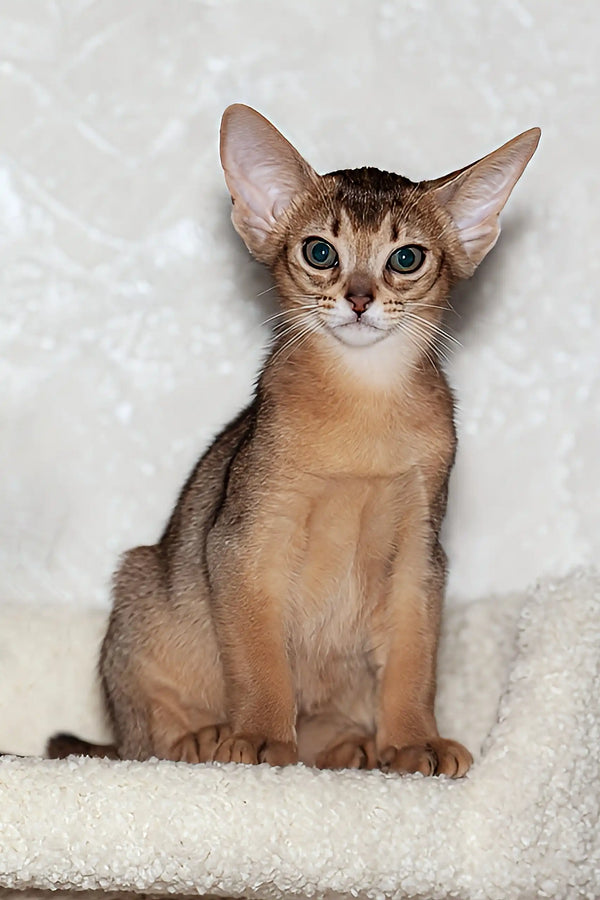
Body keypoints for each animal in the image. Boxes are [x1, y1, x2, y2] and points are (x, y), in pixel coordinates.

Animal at [48, 105, 540, 776]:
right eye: (320, 251)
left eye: (406, 259)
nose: (359, 298)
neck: (364, 408)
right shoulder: (243, 540)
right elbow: (260, 661)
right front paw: (257, 739)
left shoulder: (422, 553)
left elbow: (415, 665)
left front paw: (414, 742)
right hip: (141, 588)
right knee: (141, 742)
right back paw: (201, 739)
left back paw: (351, 747)